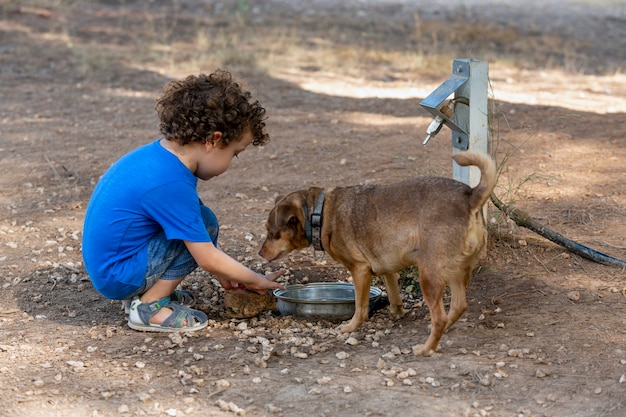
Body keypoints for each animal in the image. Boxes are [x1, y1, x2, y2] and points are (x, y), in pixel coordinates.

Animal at [256, 150, 494, 354]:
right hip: (456, 271)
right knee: (458, 307)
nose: (260, 253)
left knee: (440, 317)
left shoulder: (360, 270)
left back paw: (426, 349)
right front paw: (397, 313)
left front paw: (350, 327)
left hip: (429, 273)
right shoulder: (387, 268)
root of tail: (469, 196)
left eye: (272, 233)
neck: (319, 213)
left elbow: (360, 307)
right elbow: (394, 294)